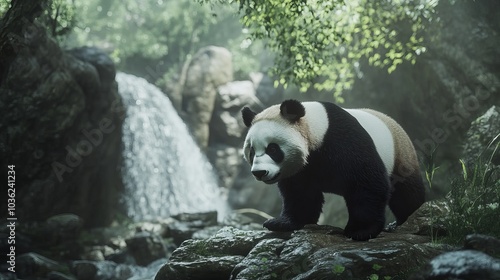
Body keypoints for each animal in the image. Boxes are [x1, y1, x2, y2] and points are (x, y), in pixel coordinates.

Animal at [242, 99, 426, 241]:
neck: (316, 130)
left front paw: (360, 231)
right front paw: (281, 223)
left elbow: (367, 183)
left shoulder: (343, 139)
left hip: (400, 156)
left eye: (272, 149)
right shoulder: (302, 170)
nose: (259, 172)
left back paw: (407, 220)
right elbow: (300, 194)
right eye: (251, 151)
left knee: (406, 192)